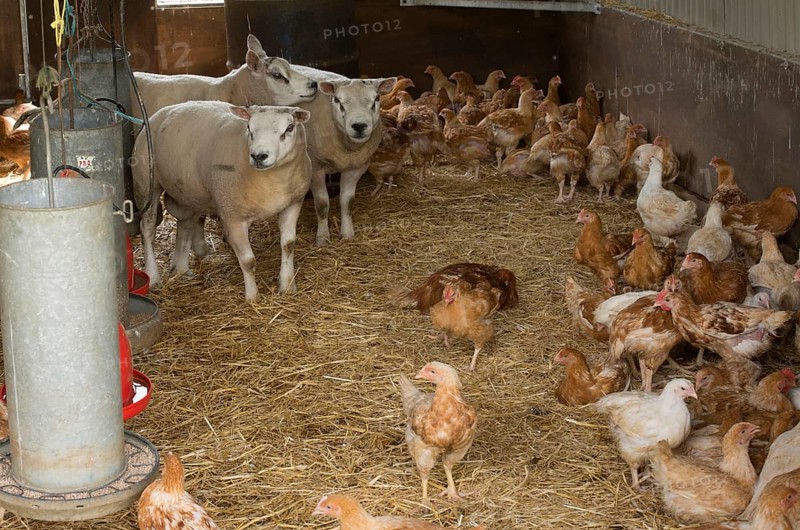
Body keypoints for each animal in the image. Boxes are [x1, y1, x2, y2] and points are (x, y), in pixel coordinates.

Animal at [132, 101, 311, 301]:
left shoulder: (293, 204)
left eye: (289, 128)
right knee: (147, 230)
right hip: (146, 183)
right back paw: (154, 277)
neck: (273, 181)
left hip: (188, 191)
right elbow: (248, 261)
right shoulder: (233, 216)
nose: (258, 156)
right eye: (249, 128)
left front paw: (287, 286)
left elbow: (288, 245)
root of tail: (161, 113)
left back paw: (180, 268)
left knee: (186, 223)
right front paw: (252, 297)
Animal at [292, 66, 396, 246]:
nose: (359, 125)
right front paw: (322, 238)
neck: (346, 148)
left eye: (376, 98)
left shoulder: (356, 167)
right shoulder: (315, 168)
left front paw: (347, 234)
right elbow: (322, 204)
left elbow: (347, 202)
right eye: (337, 100)